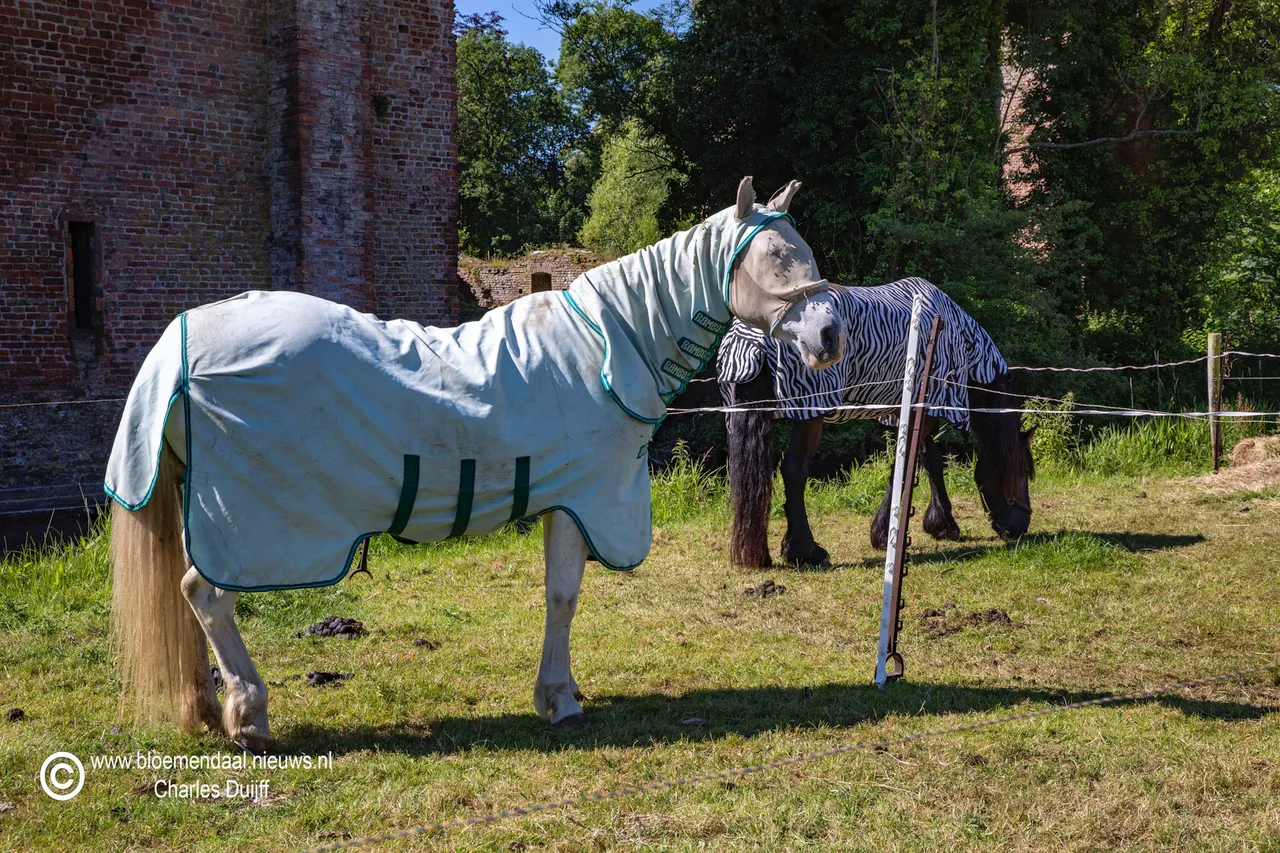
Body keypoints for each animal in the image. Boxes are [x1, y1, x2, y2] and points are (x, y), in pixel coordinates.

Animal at [106, 177, 848, 752]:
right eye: (776, 256)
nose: (830, 334)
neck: (606, 348)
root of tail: (181, 345)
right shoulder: (578, 502)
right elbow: (562, 596)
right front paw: (559, 698)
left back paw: (209, 707)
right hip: (254, 527)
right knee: (206, 596)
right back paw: (249, 715)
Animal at [717, 277, 1034, 568]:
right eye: (1022, 473)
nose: (1020, 527)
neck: (959, 338)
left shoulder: (913, 411)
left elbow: (928, 460)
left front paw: (941, 524)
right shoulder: (927, 409)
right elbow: (906, 464)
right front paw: (886, 533)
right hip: (811, 415)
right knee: (794, 471)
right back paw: (806, 551)